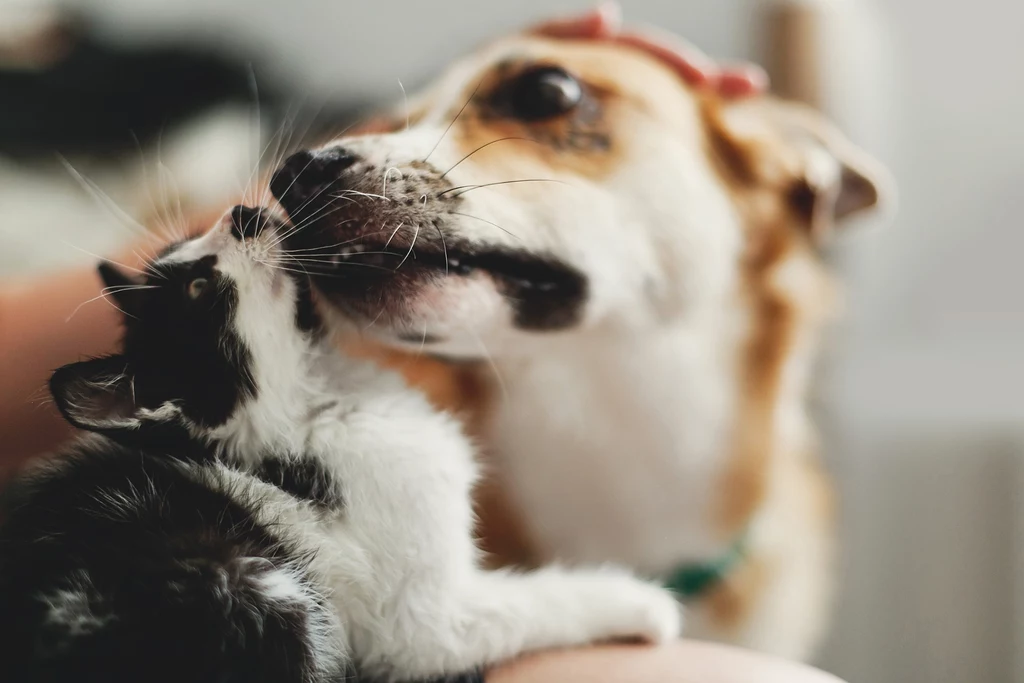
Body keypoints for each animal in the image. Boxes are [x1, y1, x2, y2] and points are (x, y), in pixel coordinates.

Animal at [0, 206, 679, 683]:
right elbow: (535, 602)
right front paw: (643, 603)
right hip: (258, 589)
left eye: (188, 249)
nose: (241, 213)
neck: (319, 400)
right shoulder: (421, 628)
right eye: (198, 289)